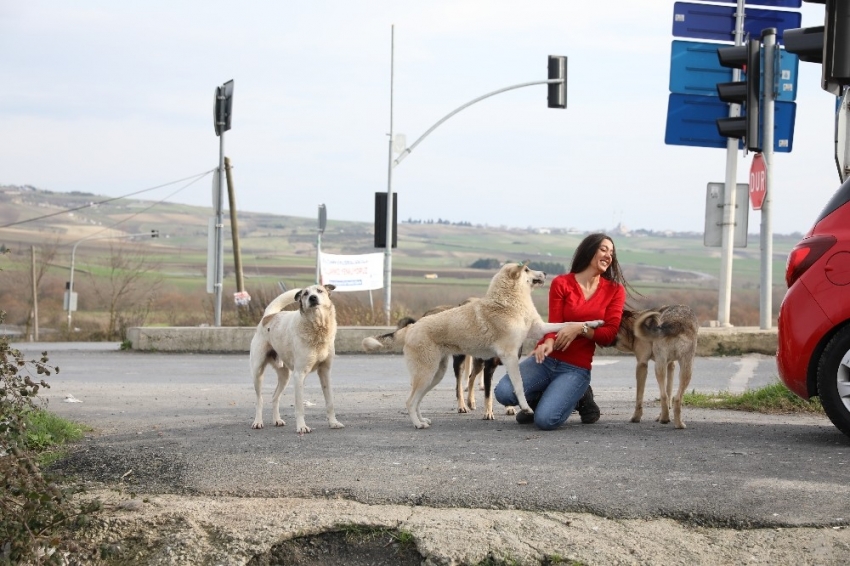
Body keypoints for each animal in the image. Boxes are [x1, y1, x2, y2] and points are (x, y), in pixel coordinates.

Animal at [248, 284, 344, 434]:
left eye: (320, 291)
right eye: (305, 294)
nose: (313, 298)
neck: (317, 327)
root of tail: (268, 316)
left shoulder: (325, 373)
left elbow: (330, 402)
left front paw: (333, 422)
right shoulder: (299, 375)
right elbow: (299, 406)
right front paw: (302, 427)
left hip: (285, 377)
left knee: (275, 397)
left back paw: (277, 420)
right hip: (258, 372)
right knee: (259, 400)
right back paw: (258, 422)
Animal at [360, 264, 604, 428]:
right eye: (526, 269)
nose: (544, 273)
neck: (508, 301)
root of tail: (411, 328)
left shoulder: (539, 328)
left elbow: (568, 323)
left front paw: (594, 323)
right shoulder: (508, 357)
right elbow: (518, 385)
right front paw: (525, 407)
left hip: (434, 375)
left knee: (417, 401)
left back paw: (422, 420)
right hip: (427, 374)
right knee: (411, 400)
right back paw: (418, 424)